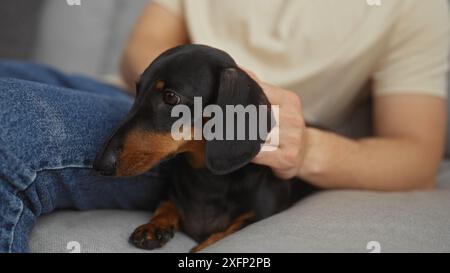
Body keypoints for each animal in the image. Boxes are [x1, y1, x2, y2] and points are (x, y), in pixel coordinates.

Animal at [92, 44, 314, 251]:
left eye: (171, 97)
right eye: (137, 89)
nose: (100, 165)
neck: (206, 179)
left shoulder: (260, 215)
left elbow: (227, 232)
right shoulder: (171, 196)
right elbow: (166, 205)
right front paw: (154, 227)